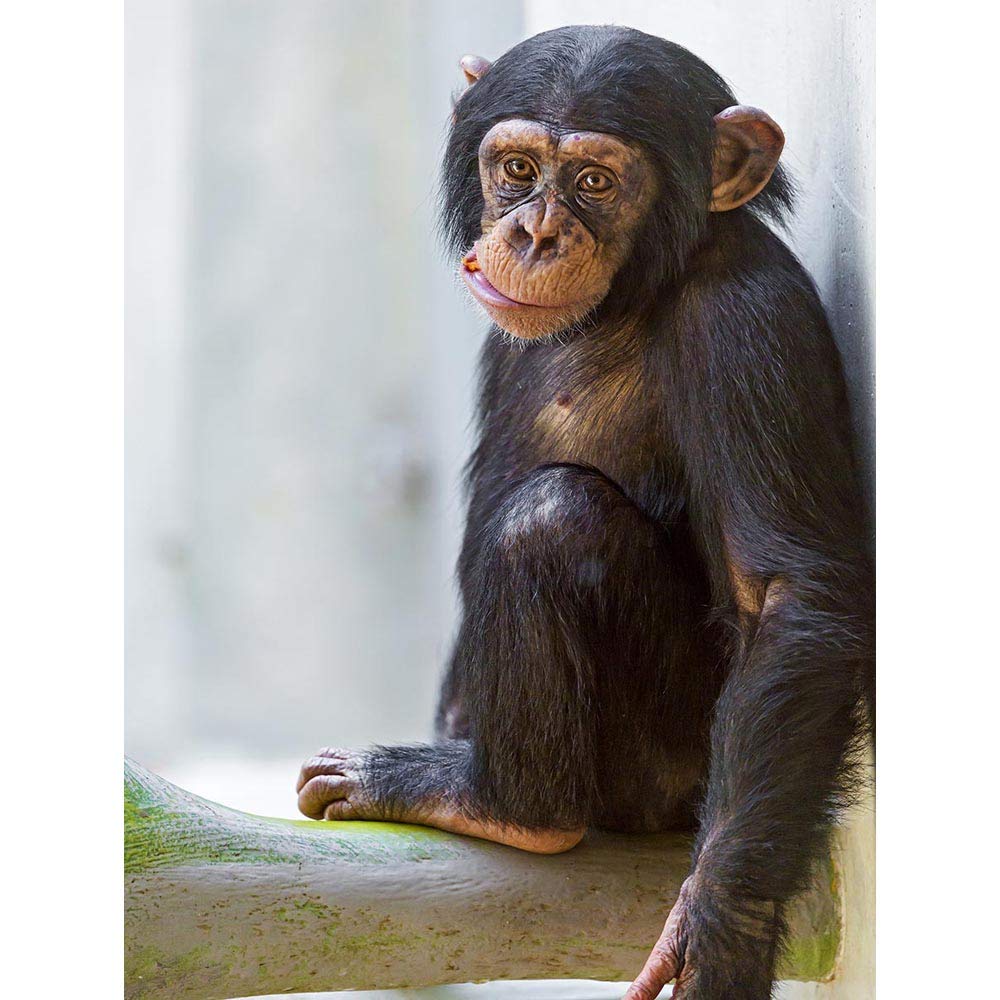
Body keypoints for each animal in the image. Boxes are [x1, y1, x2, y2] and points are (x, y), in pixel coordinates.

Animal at [296, 25, 872, 999]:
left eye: (597, 183)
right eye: (518, 168)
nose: (535, 230)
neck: (640, 289)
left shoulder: (742, 323)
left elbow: (787, 598)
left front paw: (720, 926)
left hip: (668, 772)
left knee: (551, 516)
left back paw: (501, 804)